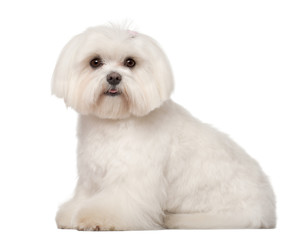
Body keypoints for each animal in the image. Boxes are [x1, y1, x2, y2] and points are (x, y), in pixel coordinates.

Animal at [51, 24, 276, 231]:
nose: (114, 77)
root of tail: (266, 209)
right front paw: (71, 213)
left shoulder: (131, 179)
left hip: (226, 213)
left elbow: (116, 202)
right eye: (95, 62)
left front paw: (95, 219)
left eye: (130, 62)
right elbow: (84, 196)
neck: (116, 120)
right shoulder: (91, 176)